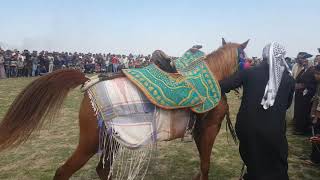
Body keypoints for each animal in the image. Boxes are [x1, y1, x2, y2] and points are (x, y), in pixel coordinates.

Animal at [0, 39, 250, 180]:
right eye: (247, 59)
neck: (215, 77)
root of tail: (88, 81)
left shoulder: (200, 132)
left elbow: (202, 165)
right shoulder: (209, 129)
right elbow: (205, 166)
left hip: (111, 141)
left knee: (103, 170)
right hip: (91, 142)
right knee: (64, 172)